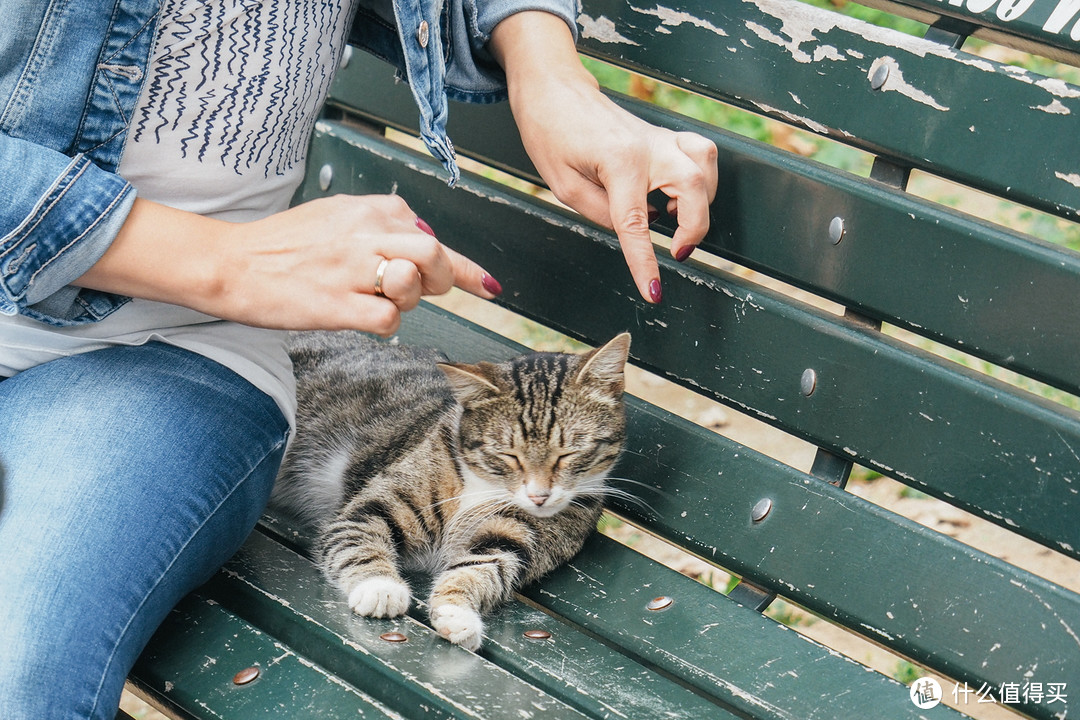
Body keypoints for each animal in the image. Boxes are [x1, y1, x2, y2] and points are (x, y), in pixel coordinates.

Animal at [272, 332, 630, 651]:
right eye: (508, 454)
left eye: (569, 453)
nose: (539, 496)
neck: (484, 486)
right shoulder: (376, 503)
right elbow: (358, 534)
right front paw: (381, 587)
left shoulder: (512, 539)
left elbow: (479, 570)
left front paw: (457, 614)